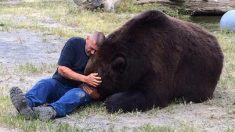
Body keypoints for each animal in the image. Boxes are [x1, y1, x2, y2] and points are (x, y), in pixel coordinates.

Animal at [84, 9, 224, 112]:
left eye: (96, 82)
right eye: (86, 72)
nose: (87, 91)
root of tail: (217, 43)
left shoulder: (159, 61)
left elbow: (153, 94)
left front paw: (111, 101)